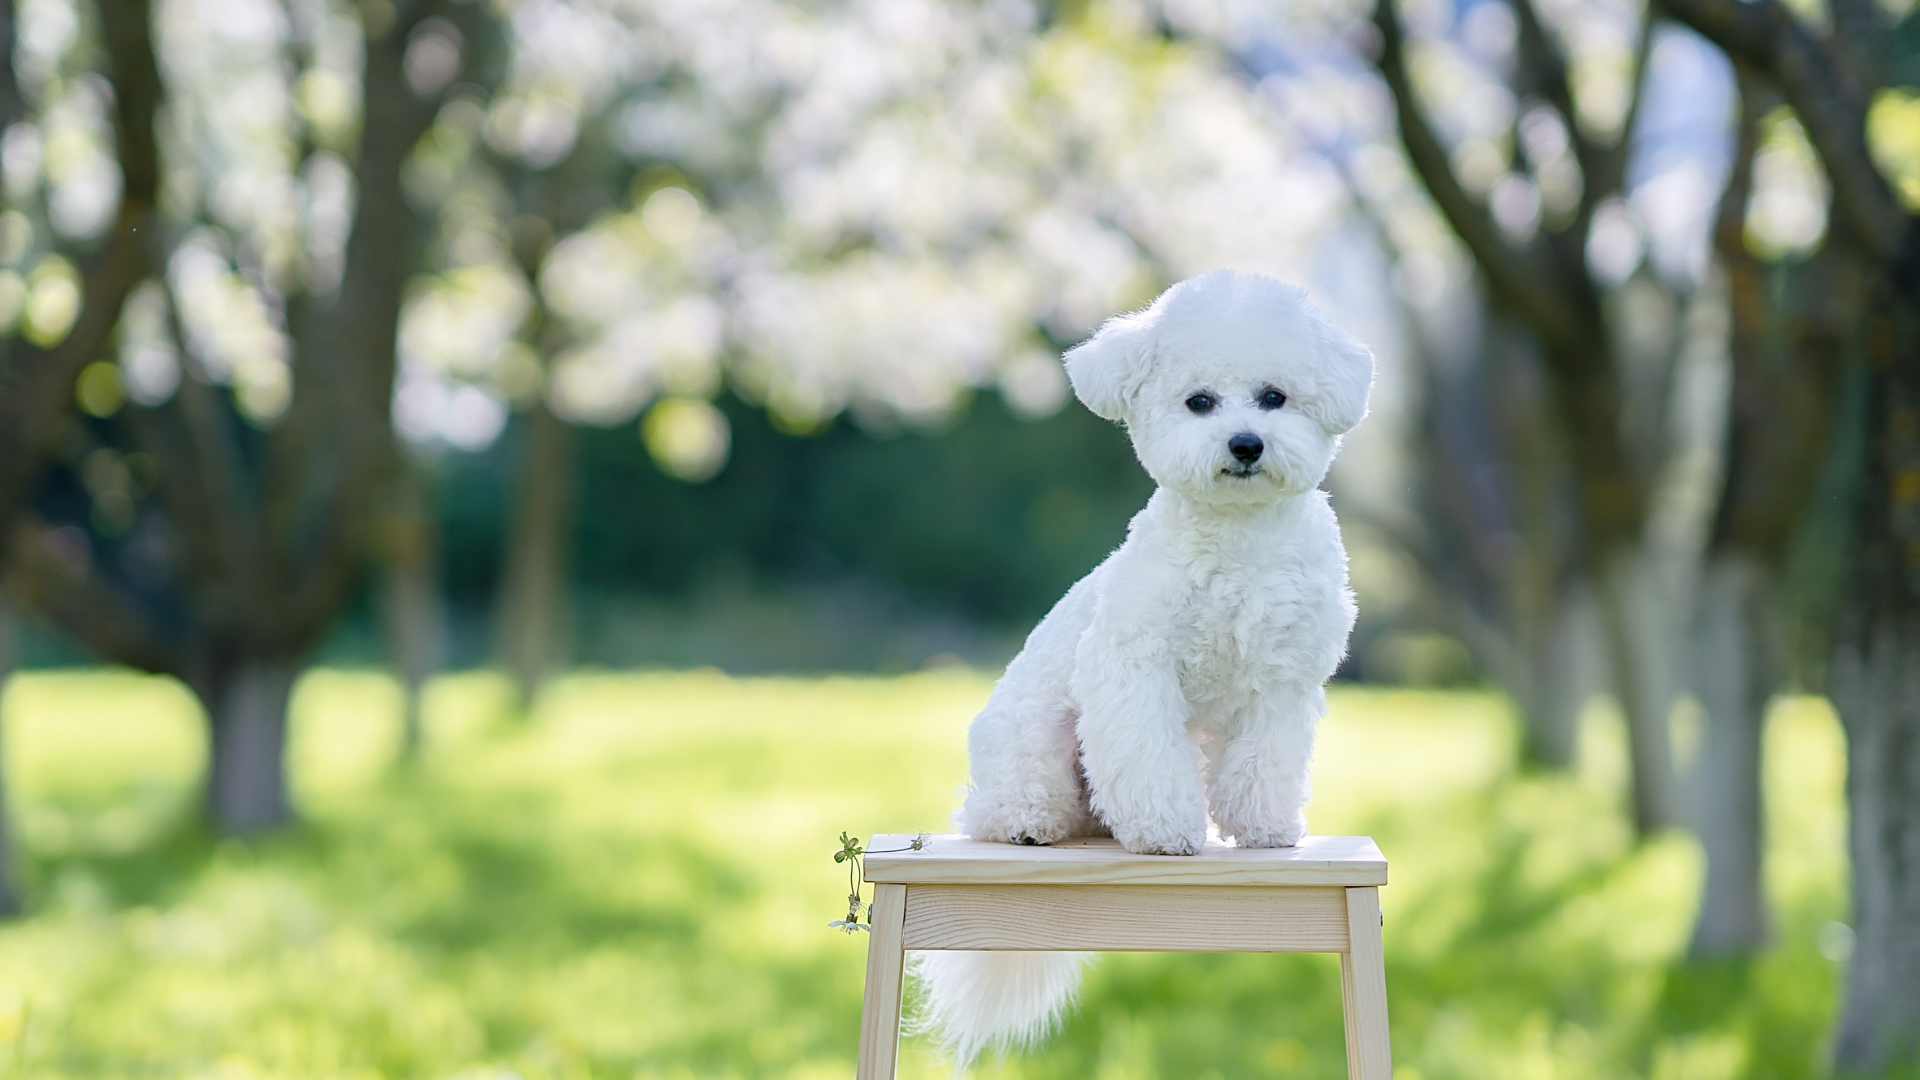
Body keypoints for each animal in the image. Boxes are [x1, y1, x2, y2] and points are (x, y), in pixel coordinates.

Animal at [910, 269, 1374, 1060]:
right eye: (1200, 402)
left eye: (1274, 397)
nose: (1246, 443)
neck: (1236, 540)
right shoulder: (1133, 669)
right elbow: (1149, 761)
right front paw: (1164, 833)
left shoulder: (1282, 682)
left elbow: (1264, 764)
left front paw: (1264, 827)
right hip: (1031, 735)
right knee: (998, 808)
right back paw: (1030, 824)